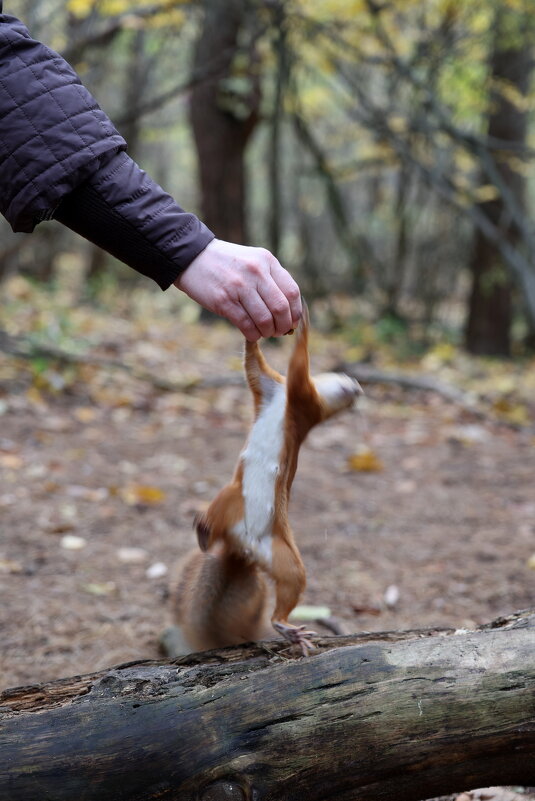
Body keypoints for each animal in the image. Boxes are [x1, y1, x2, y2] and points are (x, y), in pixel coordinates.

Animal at [173, 304, 364, 652]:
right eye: (348, 380)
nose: (358, 388)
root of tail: (244, 549)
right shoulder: (269, 386)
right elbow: (253, 366)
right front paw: (252, 335)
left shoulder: (303, 398)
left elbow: (299, 363)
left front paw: (303, 325)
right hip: (237, 504)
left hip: (277, 550)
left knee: (285, 589)